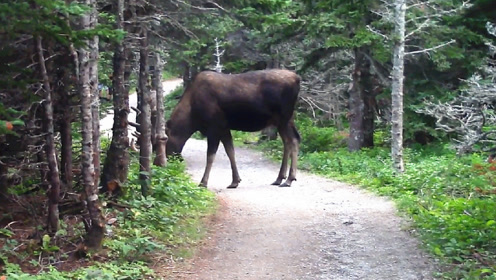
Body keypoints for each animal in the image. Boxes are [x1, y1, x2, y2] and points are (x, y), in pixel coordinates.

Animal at [165, 69, 300, 189]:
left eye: (165, 139)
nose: (170, 158)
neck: (192, 118)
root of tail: (297, 78)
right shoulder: (224, 128)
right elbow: (230, 151)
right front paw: (235, 181)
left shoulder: (214, 127)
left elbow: (210, 156)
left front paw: (203, 183)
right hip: (284, 120)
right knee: (288, 141)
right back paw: (280, 178)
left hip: (284, 118)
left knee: (293, 140)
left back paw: (289, 179)